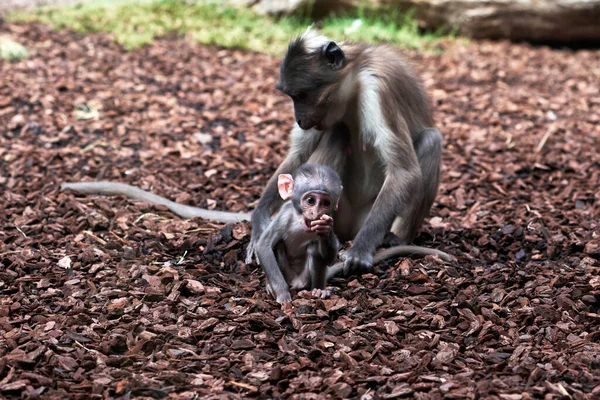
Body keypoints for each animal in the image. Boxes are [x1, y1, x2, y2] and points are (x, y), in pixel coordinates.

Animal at [245, 28, 446, 276]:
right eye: (292, 97)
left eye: (301, 96)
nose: (299, 119)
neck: (355, 80)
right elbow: (299, 154)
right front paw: (259, 220)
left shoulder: (376, 88)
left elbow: (404, 171)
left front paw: (359, 251)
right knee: (337, 130)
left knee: (431, 139)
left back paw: (395, 239)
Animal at [258, 162, 342, 304]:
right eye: (310, 200)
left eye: (325, 203)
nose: (316, 213)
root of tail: (297, 283)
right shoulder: (283, 216)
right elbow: (264, 246)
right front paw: (282, 293)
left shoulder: (331, 219)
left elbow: (329, 259)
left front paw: (325, 231)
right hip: (288, 275)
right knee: (279, 244)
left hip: (305, 279)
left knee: (314, 248)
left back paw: (318, 290)